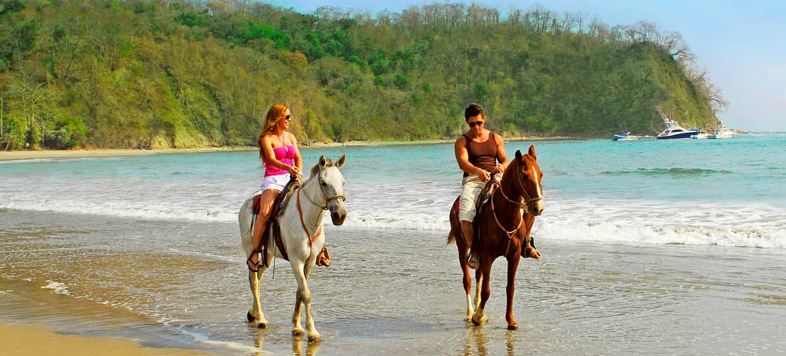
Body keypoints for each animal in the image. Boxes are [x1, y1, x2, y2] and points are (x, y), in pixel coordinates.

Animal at [239, 155, 346, 342]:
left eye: (343, 182)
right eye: (324, 183)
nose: (340, 215)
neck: (307, 220)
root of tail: (245, 204)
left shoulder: (309, 262)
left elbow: (299, 293)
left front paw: (296, 326)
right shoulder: (296, 261)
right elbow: (306, 294)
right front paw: (312, 331)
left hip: (267, 255)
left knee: (259, 279)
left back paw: (253, 314)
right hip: (251, 249)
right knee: (253, 281)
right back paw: (261, 319)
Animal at [444, 145, 544, 330]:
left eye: (540, 174)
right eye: (525, 176)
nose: (538, 208)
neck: (505, 215)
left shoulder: (513, 256)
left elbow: (510, 288)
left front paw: (510, 320)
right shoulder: (488, 256)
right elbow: (487, 290)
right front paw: (477, 317)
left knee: (478, 276)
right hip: (462, 246)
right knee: (468, 280)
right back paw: (470, 313)